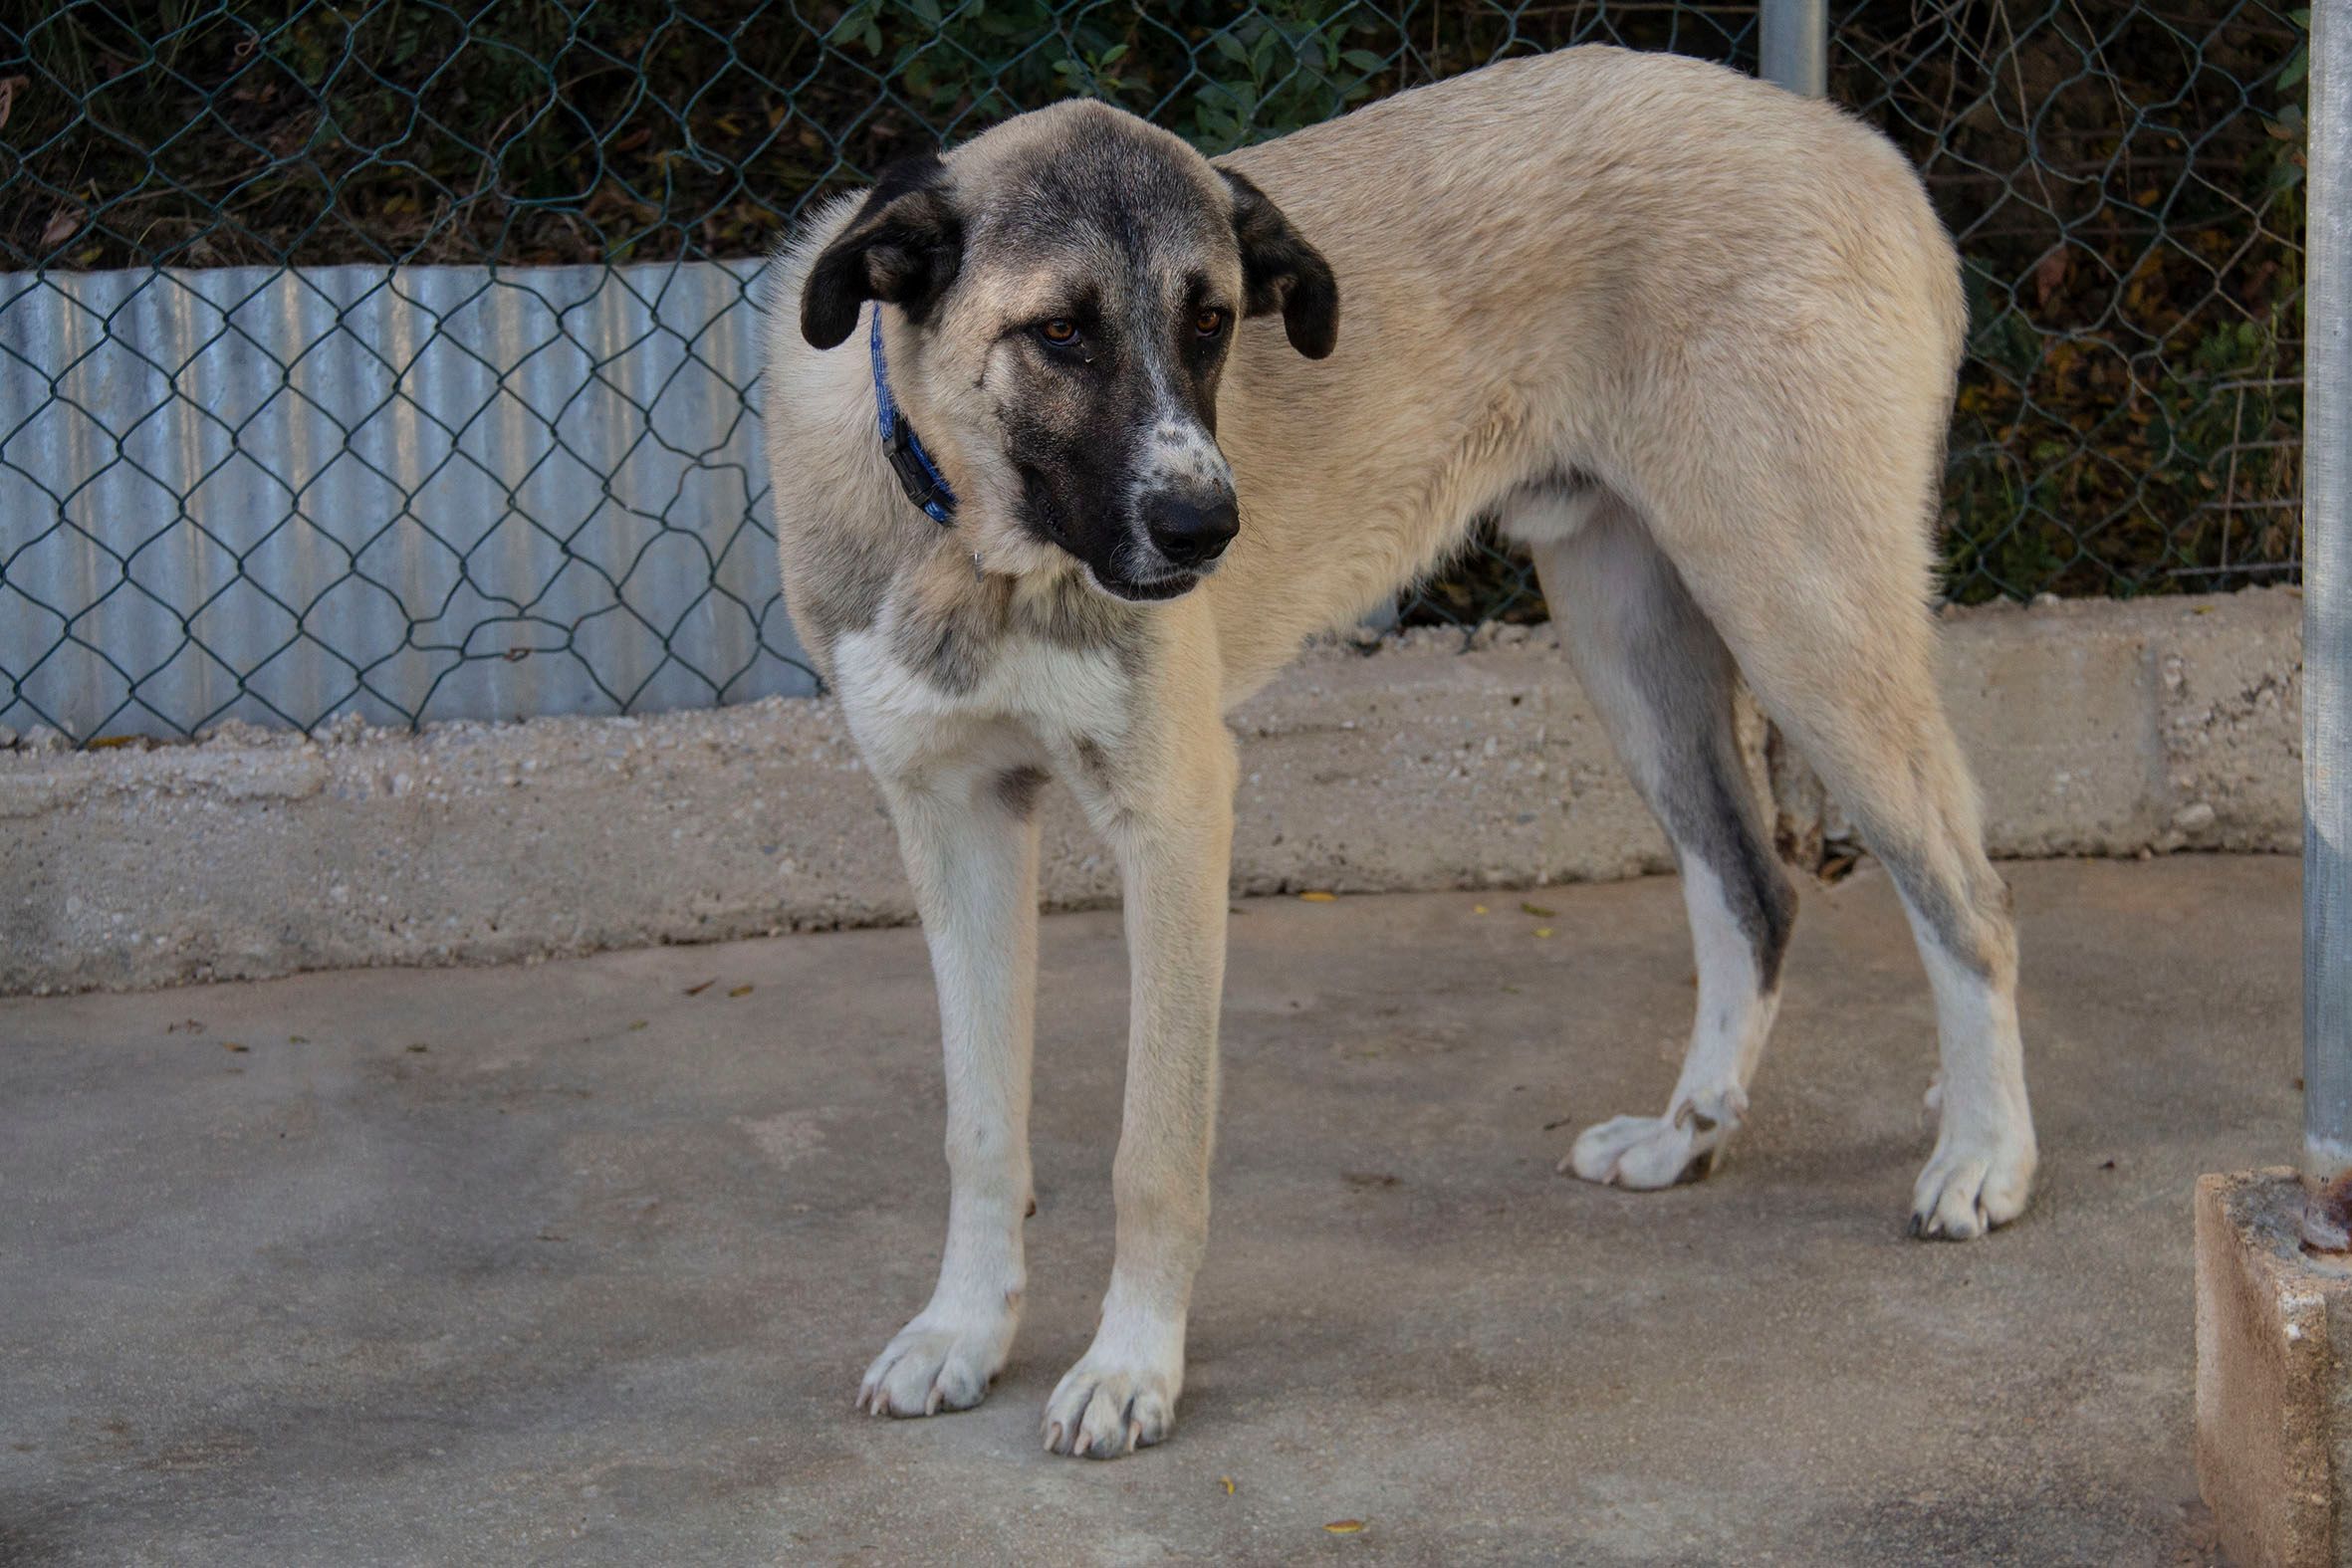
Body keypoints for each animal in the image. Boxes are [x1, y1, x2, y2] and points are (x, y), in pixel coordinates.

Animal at [762, 44, 2038, 1460]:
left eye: (1213, 321)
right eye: (1059, 332)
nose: (1208, 527)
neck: (978, 547)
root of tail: (1855, 146)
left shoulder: (1176, 817)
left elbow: (1155, 1147)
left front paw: (1131, 1365)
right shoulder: (952, 819)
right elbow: (979, 1128)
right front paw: (962, 1334)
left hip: (1800, 614)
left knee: (1968, 897)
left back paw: (1986, 1160)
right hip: (1628, 634)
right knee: (1751, 890)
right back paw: (1685, 1138)